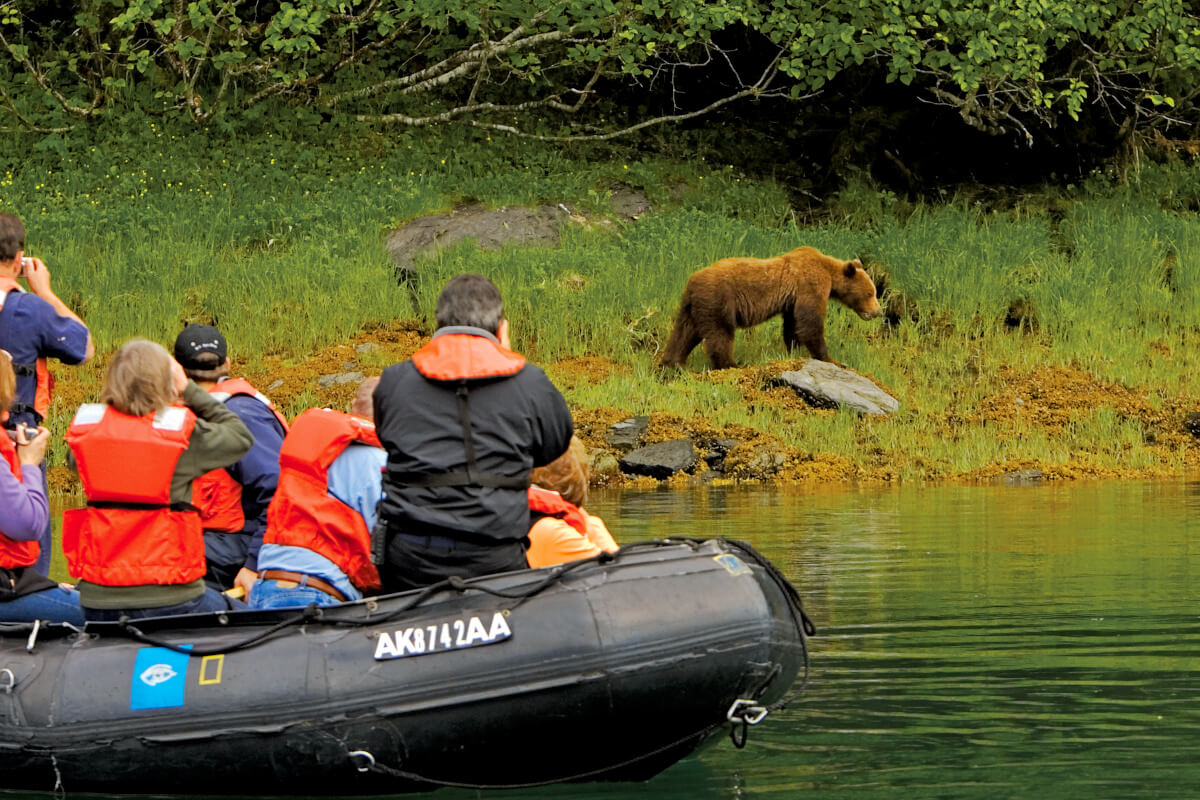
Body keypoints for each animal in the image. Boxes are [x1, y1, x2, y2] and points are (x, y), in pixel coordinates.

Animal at [658, 246, 882, 369]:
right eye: (870, 293)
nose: (877, 311)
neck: (830, 274)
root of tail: (691, 282)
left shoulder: (792, 299)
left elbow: (793, 325)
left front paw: (794, 350)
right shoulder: (810, 283)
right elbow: (810, 322)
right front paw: (831, 359)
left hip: (692, 307)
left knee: (684, 332)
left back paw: (672, 362)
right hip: (718, 300)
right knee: (720, 333)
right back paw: (731, 363)